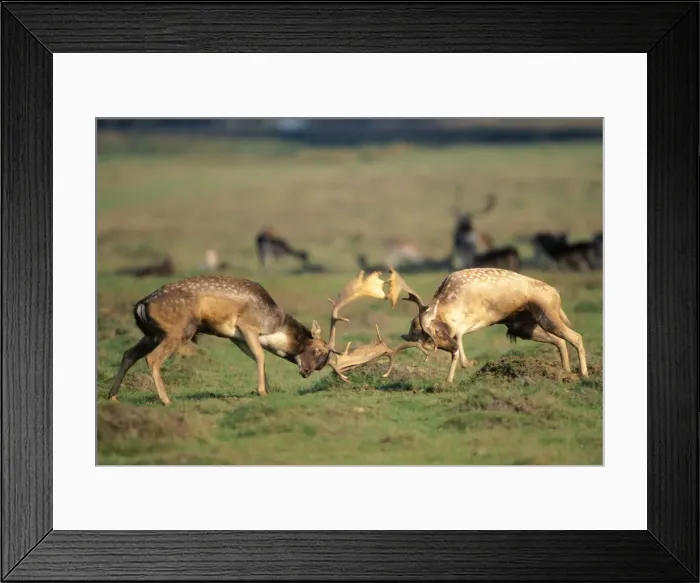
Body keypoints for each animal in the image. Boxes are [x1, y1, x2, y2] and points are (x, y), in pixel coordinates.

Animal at [107, 271, 425, 406]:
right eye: (318, 350)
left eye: (324, 360)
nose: (306, 371)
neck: (275, 324)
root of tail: (142, 304)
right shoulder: (246, 325)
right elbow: (260, 355)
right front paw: (262, 391)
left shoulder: (236, 337)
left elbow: (255, 356)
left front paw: (266, 387)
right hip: (178, 330)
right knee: (152, 359)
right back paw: (165, 400)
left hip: (151, 333)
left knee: (127, 353)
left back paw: (112, 396)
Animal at [387, 267, 588, 384]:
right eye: (429, 343)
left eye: (434, 331)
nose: (451, 346)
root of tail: (555, 293)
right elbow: (456, 350)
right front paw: (449, 382)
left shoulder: (477, 319)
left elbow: (459, 337)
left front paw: (469, 363)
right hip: (524, 328)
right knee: (561, 341)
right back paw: (566, 373)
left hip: (547, 317)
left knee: (576, 336)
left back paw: (583, 375)